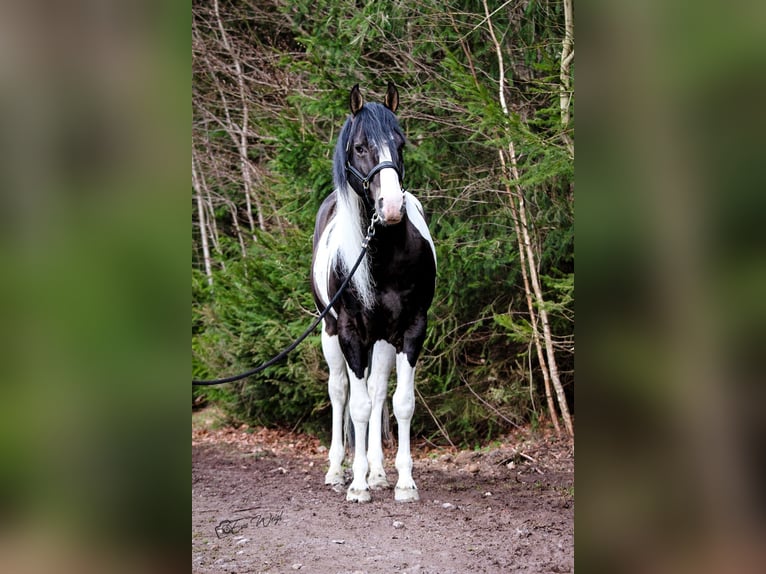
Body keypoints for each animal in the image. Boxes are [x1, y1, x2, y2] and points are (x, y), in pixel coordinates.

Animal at [312, 83, 438, 502]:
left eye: (400, 143)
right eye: (361, 147)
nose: (393, 206)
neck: (381, 254)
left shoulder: (412, 329)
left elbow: (401, 403)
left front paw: (403, 483)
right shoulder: (350, 332)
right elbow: (358, 407)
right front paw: (357, 485)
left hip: (382, 339)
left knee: (378, 390)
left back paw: (378, 472)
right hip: (330, 333)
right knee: (340, 393)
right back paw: (339, 471)